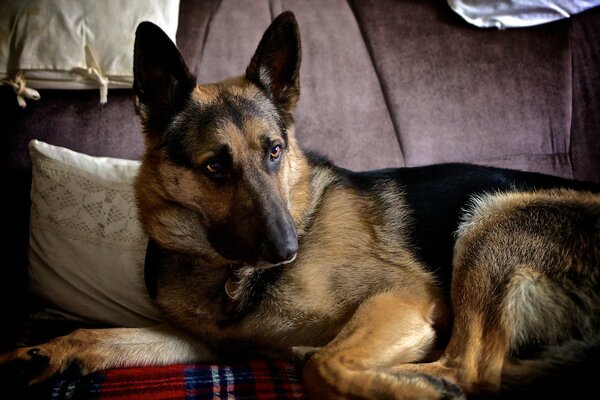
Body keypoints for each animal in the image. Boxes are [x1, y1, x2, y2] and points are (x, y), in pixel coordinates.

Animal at [3, 10, 600, 398]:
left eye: (274, 151)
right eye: (214, 166)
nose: (287, 249)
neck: (228, 272)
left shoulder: (404, 296)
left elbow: (329, 366)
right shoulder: (206, 343)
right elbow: (104, 336)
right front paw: (46, 351)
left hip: (490, 222)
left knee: (471, 372)